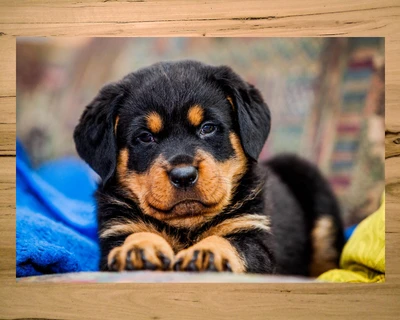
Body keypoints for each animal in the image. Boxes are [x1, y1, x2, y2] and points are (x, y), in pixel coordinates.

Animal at [74, 61, 344, 276]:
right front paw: (139, 248)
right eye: (145, 137)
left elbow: (230, 242)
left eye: (208, 128)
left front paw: (207, 253)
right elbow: (134, 235)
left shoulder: (255, 236)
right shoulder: (116, 230)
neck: (186, 224)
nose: (184, 176)